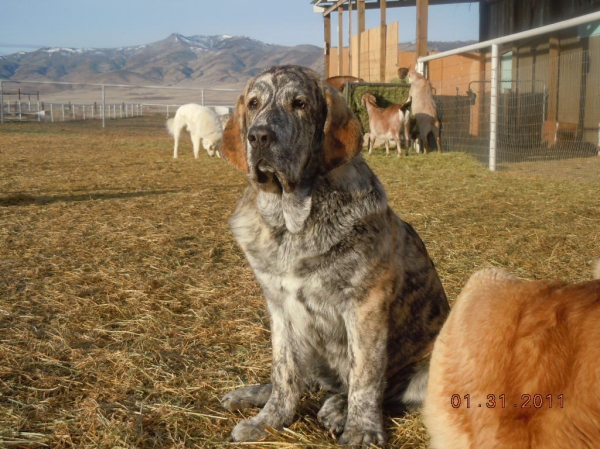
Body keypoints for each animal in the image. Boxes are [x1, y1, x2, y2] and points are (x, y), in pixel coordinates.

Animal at [218, 65, 448, 446]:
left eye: (299, 104)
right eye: (253, 103)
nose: (259, 137)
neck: (292, 223)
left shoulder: (365, 305)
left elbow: (366, 376)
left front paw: (361, 430)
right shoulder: (281, 307)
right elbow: (284, 372)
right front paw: (269, 420)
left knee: (382, 391)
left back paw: (338, 409)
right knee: (308, 380)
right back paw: (251, 394)